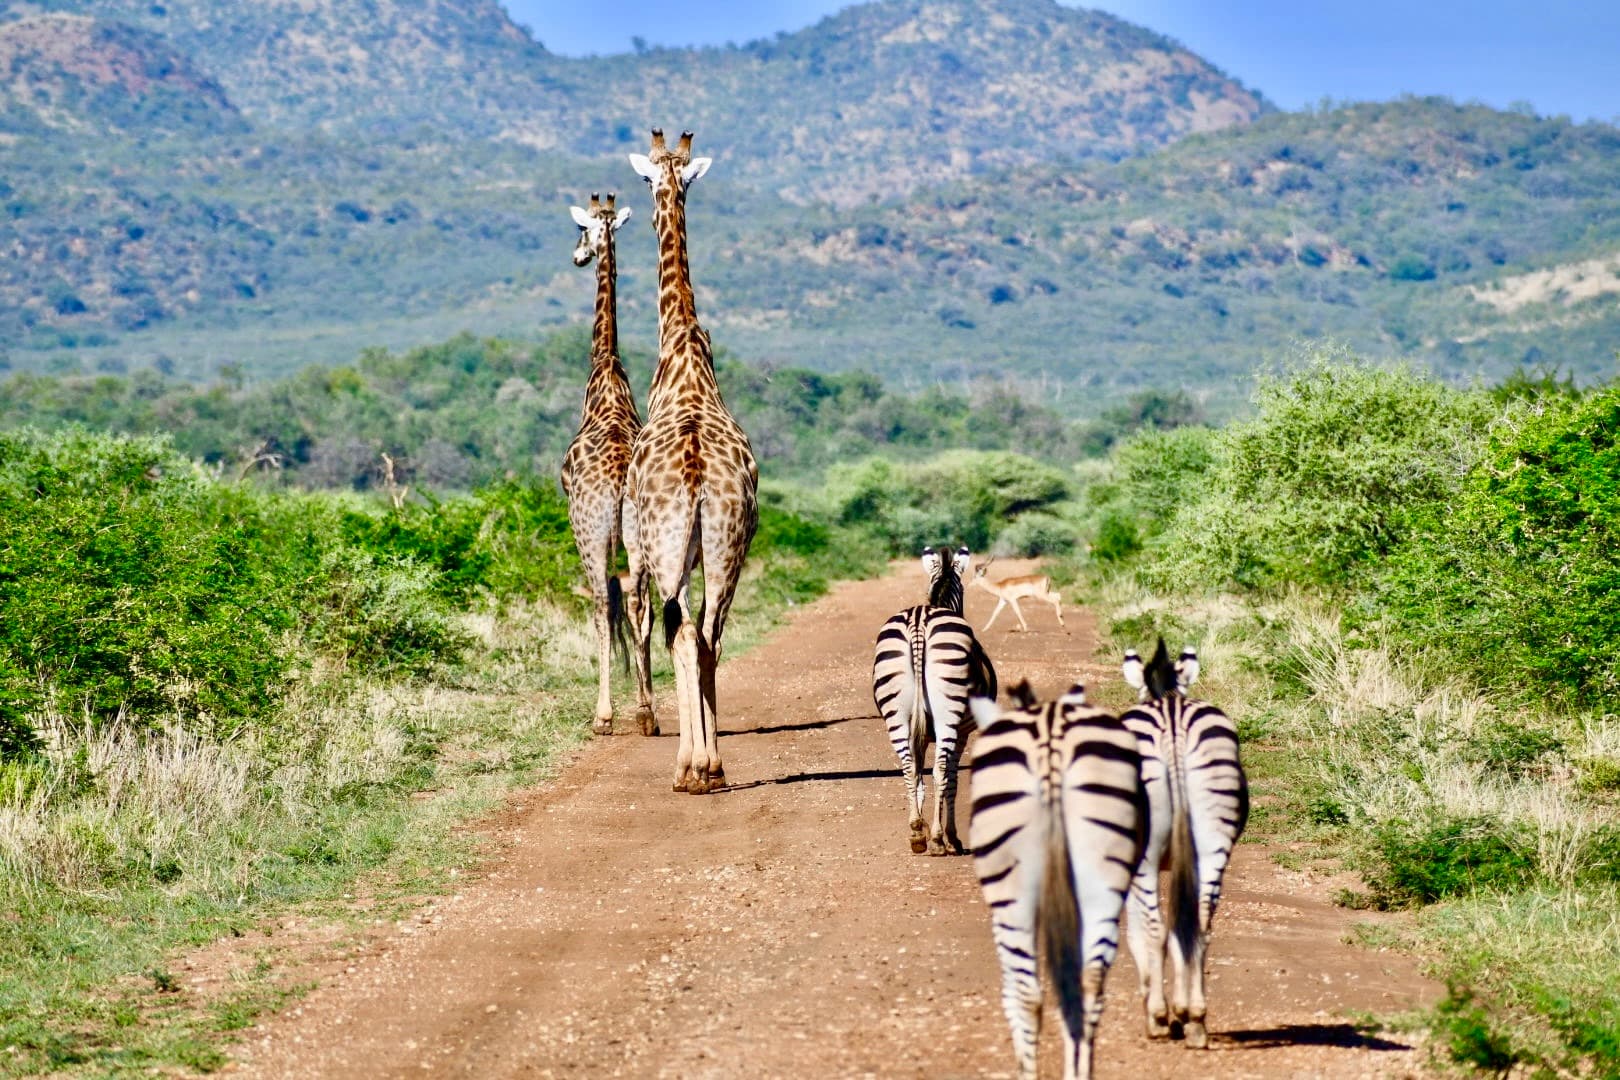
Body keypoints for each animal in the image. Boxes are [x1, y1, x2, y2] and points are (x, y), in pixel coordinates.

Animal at [871, 545, 997, 855]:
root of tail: (918, 620)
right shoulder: (963, 732)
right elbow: (951, 778)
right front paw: (951, 836)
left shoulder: (919, 733)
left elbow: (918, 775)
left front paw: (921, 829)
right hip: (947, 716)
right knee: (940, 770)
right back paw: (940, 840)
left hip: (896, 714)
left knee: (908, 768)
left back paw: (917, 831)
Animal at [967, 681, 1146, 1080]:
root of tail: (1050, 733)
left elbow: (1010, 994)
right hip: (1103, 883)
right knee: (1089, 985)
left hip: (1013, 896)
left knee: (1027, 993)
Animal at [1120, 638, 1248, 1049]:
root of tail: (1173, 721)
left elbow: (1136, 932)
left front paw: (1155, 1010)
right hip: (1213, 843)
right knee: (1200, 926)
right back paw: (1194, 1018)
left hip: (1145, 852)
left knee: (1156, 928)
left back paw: (1161, 1016)